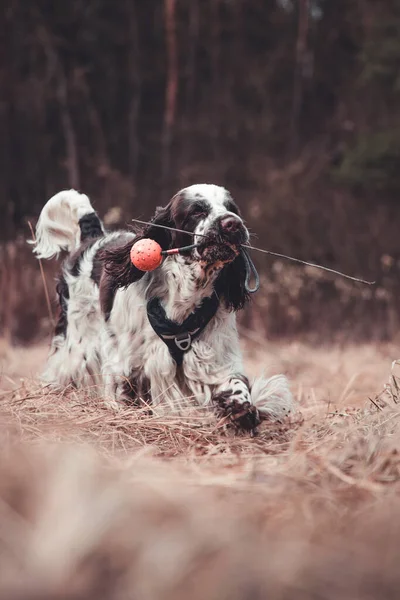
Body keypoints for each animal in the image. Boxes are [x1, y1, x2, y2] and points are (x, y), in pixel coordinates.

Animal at [32, 185, 292, 428]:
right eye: (197, 210)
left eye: (232, 208)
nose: (233, 224)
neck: (185, 294)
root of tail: (93, 238)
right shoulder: (127, 363)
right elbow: (126, 392)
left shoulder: (214, 357)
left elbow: (235, 385)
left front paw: (242, 411)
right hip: (77, 345)